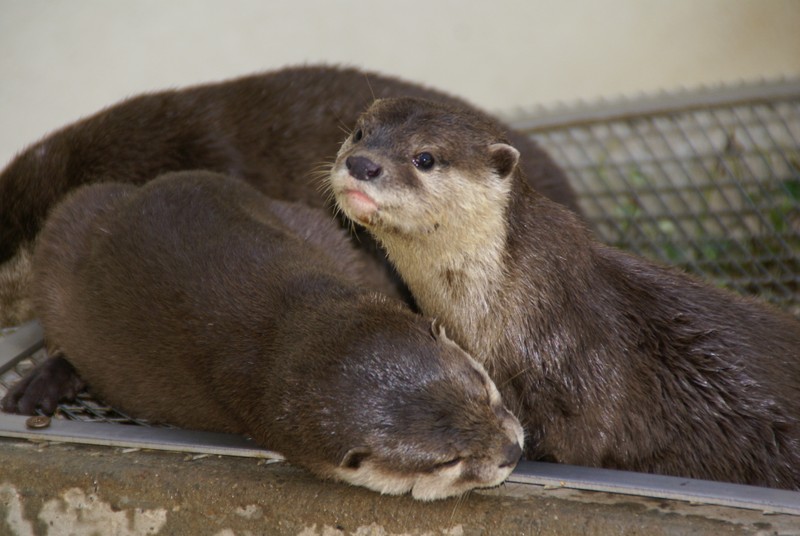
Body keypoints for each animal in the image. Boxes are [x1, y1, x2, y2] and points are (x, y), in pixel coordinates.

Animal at [1, 172, 524, 502]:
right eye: (448, 461)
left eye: (483, 388)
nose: (512, 451)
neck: (288, 330)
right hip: (65, 235)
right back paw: (41, 386)